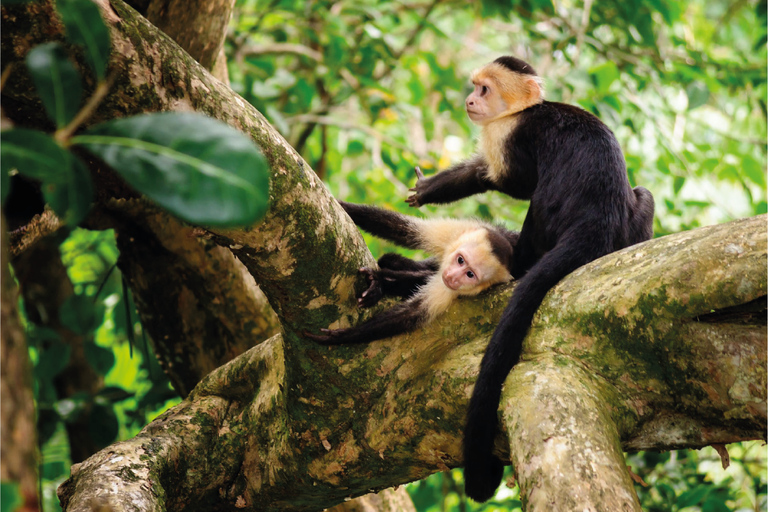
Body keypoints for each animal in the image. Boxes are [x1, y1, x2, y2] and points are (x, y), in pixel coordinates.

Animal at [304, 200, 520, 344]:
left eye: (470, 275)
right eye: (460, 260)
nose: (452, 276)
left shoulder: (455, 289)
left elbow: (410, 314)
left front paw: (340, 336)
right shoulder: (457, 231)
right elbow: (401, 228)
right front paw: (344, 206)